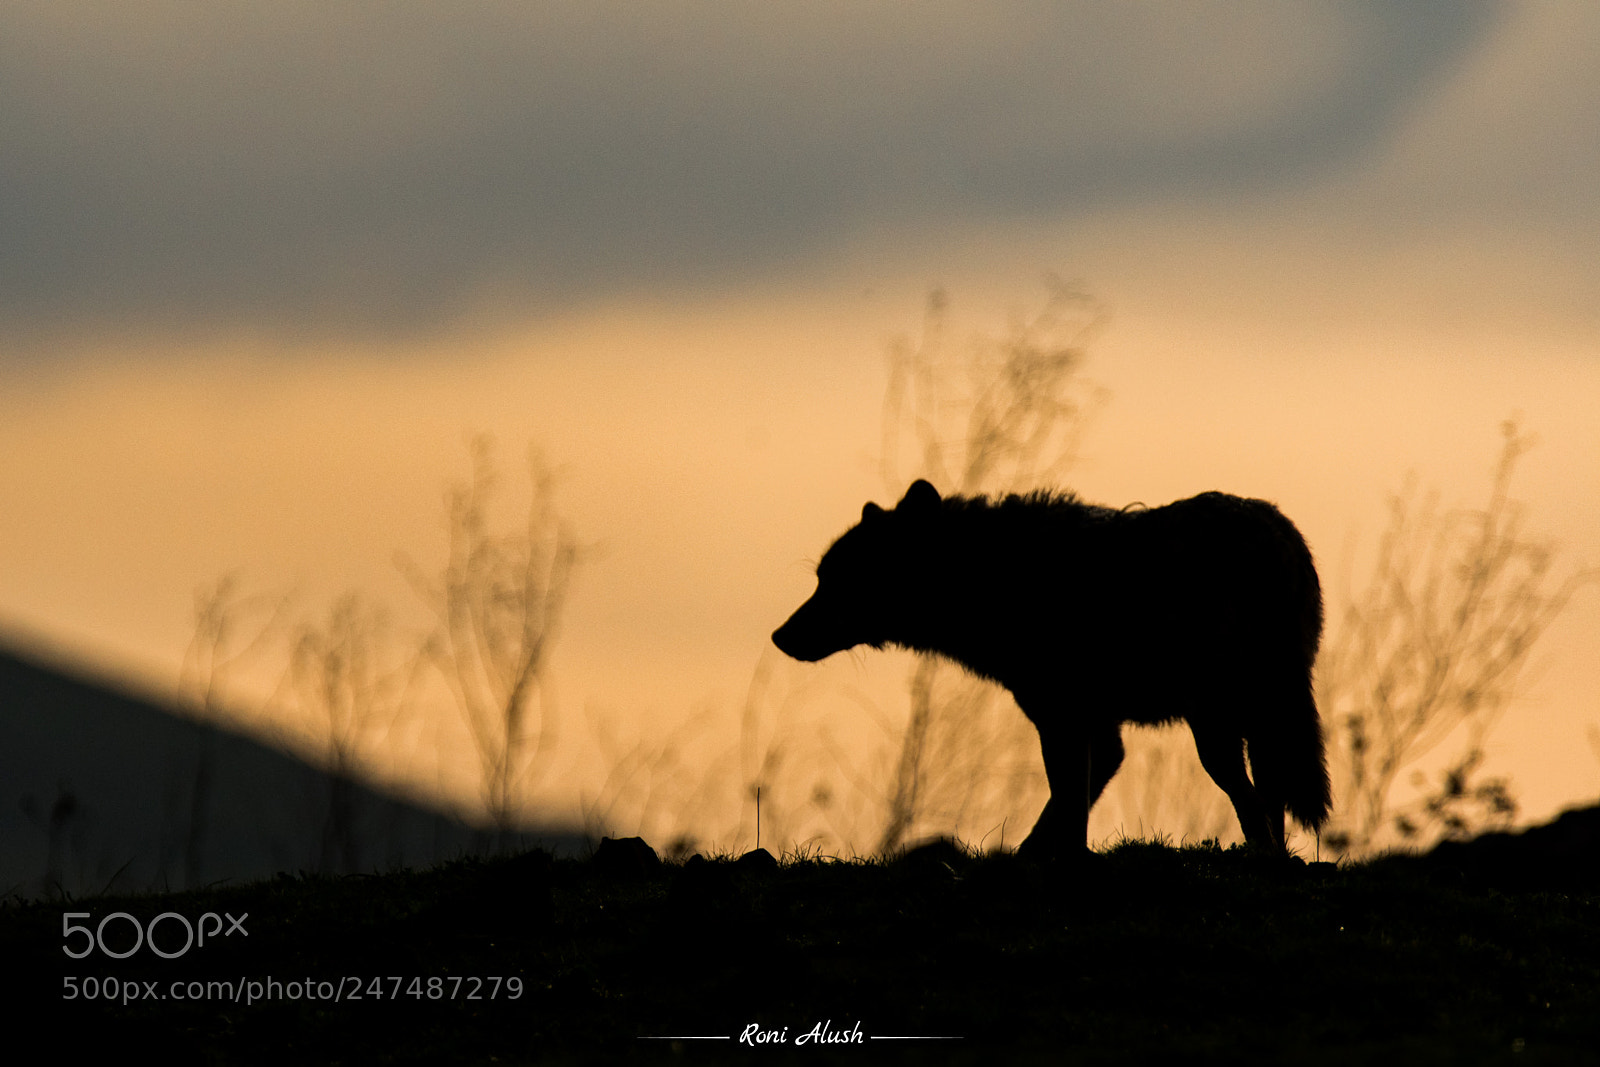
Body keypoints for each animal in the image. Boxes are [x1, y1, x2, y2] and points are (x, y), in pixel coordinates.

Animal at [772, 479, 1329, 857]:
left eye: (838, 581)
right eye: (820, 578)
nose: (779, 636)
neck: (992, 577)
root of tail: (1276, 534)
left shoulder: (1059, 715)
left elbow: (1065, 798)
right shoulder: (1096, 725)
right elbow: (1072, 800)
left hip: (1215, 725)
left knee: (1249, 799)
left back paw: (1265, 859)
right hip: (1261, 719)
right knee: (1270, 796)